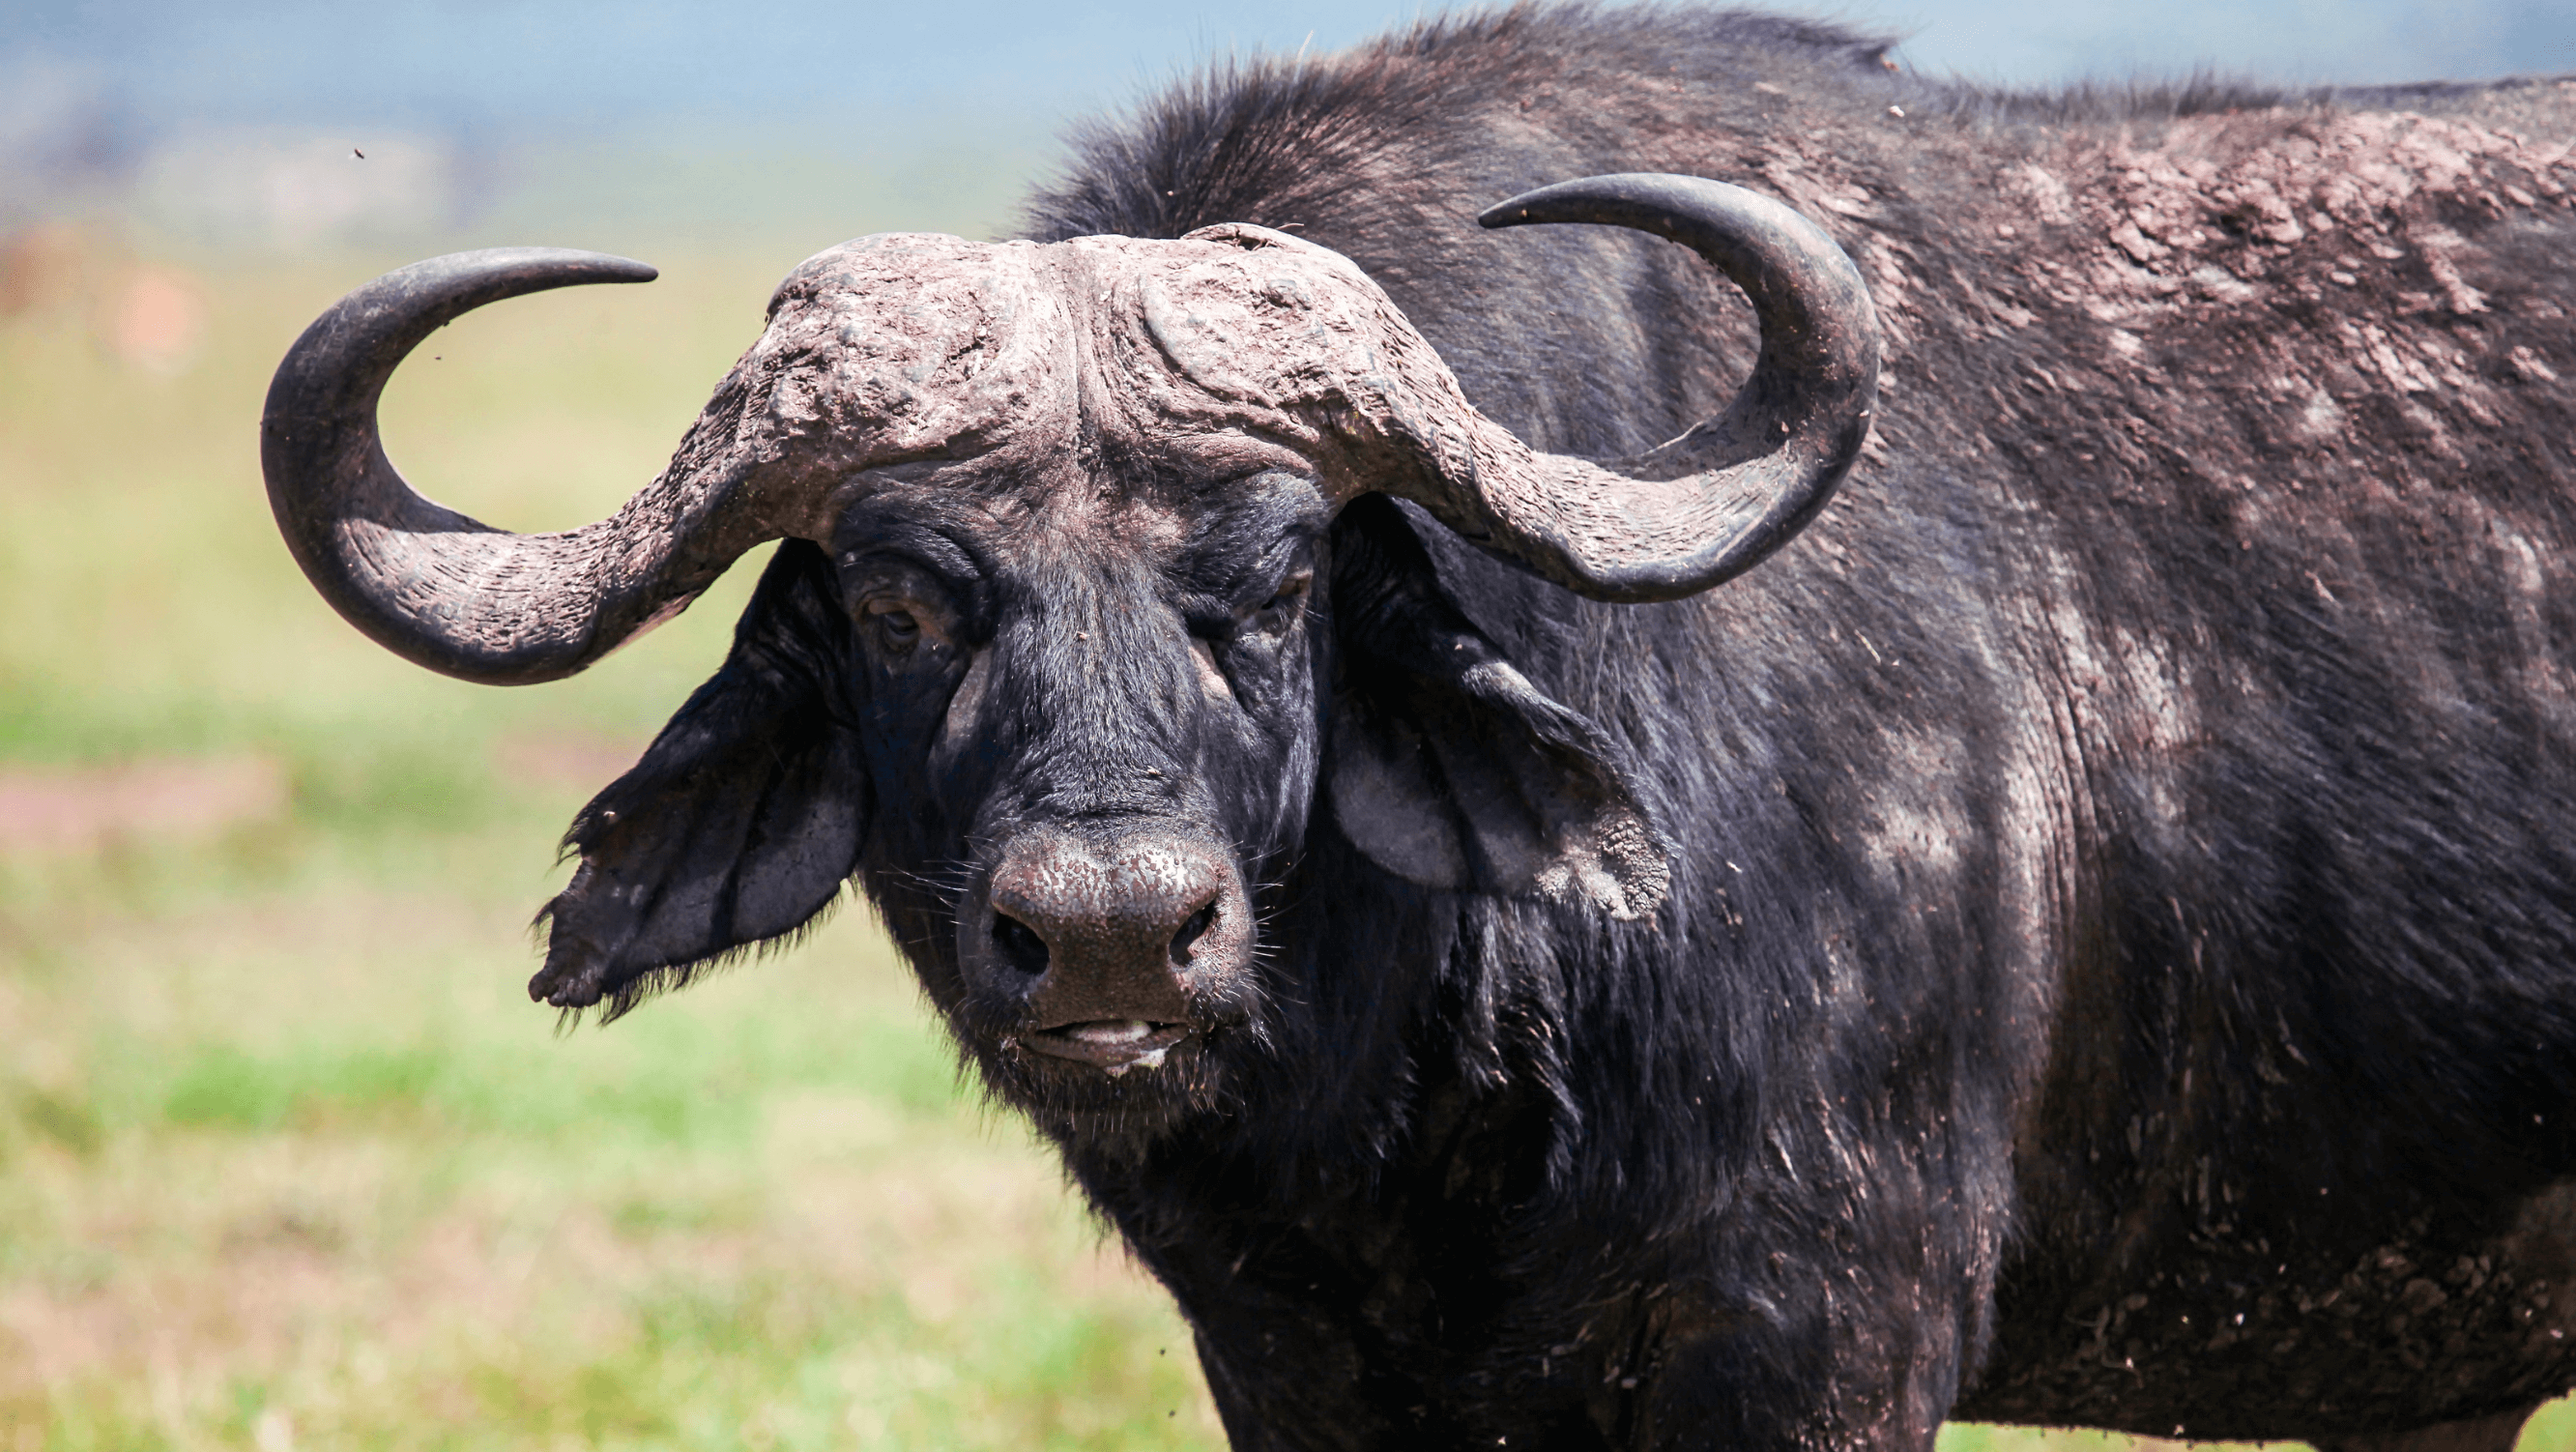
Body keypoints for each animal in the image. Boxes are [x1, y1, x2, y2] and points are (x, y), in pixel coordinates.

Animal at [259, 7, 2576, 1449]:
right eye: (905, 600)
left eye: (1283, 582)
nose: (1112, 935)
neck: (1427, 1088)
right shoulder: (1294, 1361)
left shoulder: (1827, 1320)